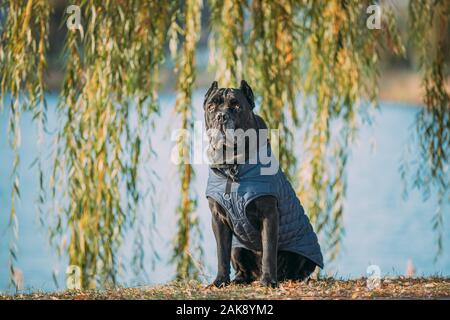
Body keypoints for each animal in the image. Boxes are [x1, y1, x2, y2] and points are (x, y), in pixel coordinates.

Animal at [204, 80, 324, 288]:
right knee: (241, 265)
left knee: (297, 267)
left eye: (236, 106)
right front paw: (220, 280)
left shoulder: (269, 214)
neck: (232, 165)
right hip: (238, 248)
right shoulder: (218, 218)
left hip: (301, 253)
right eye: (211, 106)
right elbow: (222, 253)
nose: (221, 116)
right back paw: (239, 279)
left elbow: (268, 250)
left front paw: (268, 281)